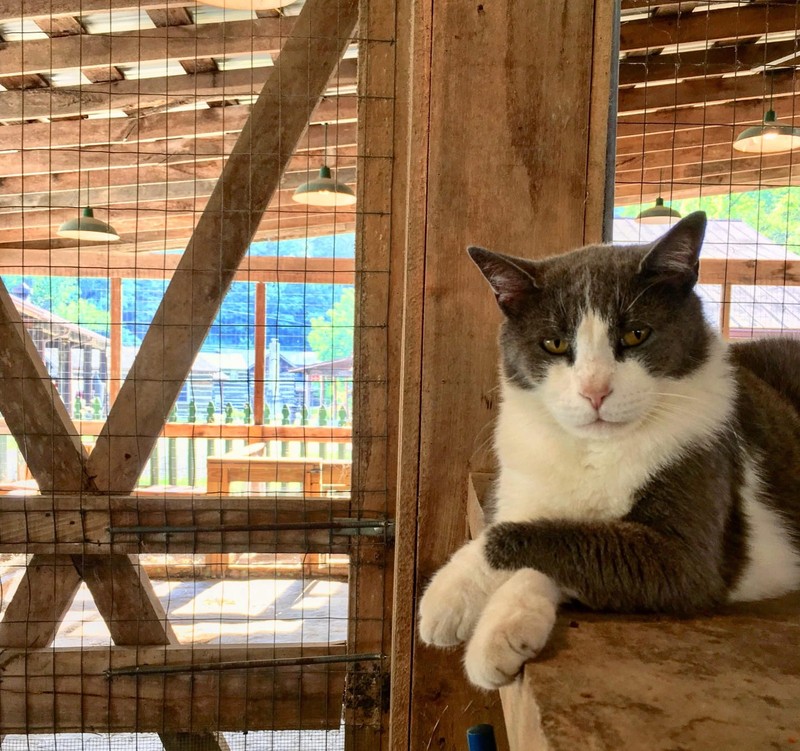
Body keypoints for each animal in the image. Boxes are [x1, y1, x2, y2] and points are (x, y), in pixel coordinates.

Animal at [416, 213, 800, 692]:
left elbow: (560, 536)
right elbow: (530, 521)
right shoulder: (520, 480)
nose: (595, 390)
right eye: (555, 344)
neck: (594, 449)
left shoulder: (685, 556)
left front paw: (479, 614)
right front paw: (474, 604)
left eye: (636, 334)